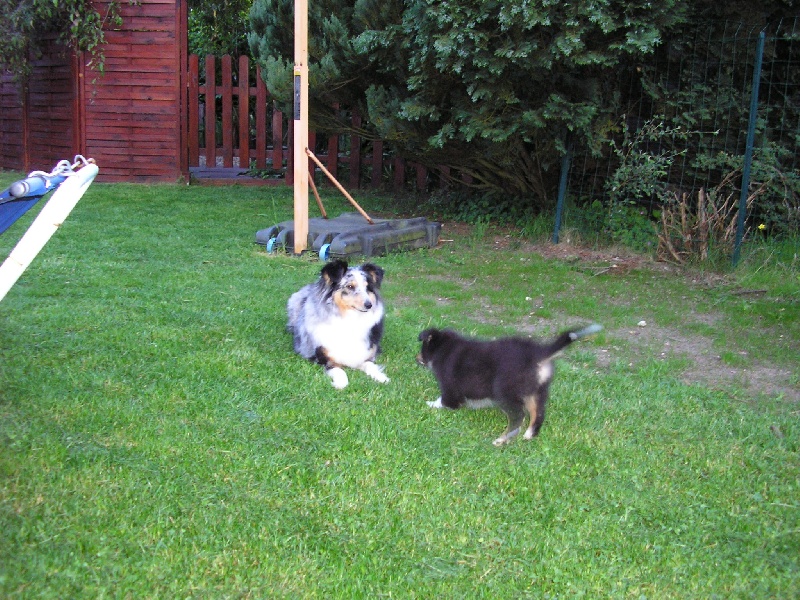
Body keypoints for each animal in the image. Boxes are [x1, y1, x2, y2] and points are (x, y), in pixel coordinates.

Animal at [288, 258, 388, 390]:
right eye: (350, 286)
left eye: (367, 287)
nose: (369, 305)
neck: (350, 319)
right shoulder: (323, 358)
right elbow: (339, 370)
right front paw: (341, 383)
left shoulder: (368, 355)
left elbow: (370, 365)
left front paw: (381, 377)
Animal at [418, 324, 600, 446]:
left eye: (422, 347)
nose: (416, 358)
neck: (445, 348)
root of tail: (541, 353)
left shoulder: (449, 386)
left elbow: (444, 401)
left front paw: (430, 404)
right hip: (538, 391)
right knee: (538, 413)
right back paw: (529, 435)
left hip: (505, 392)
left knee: (518, 417)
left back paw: (501, 440)